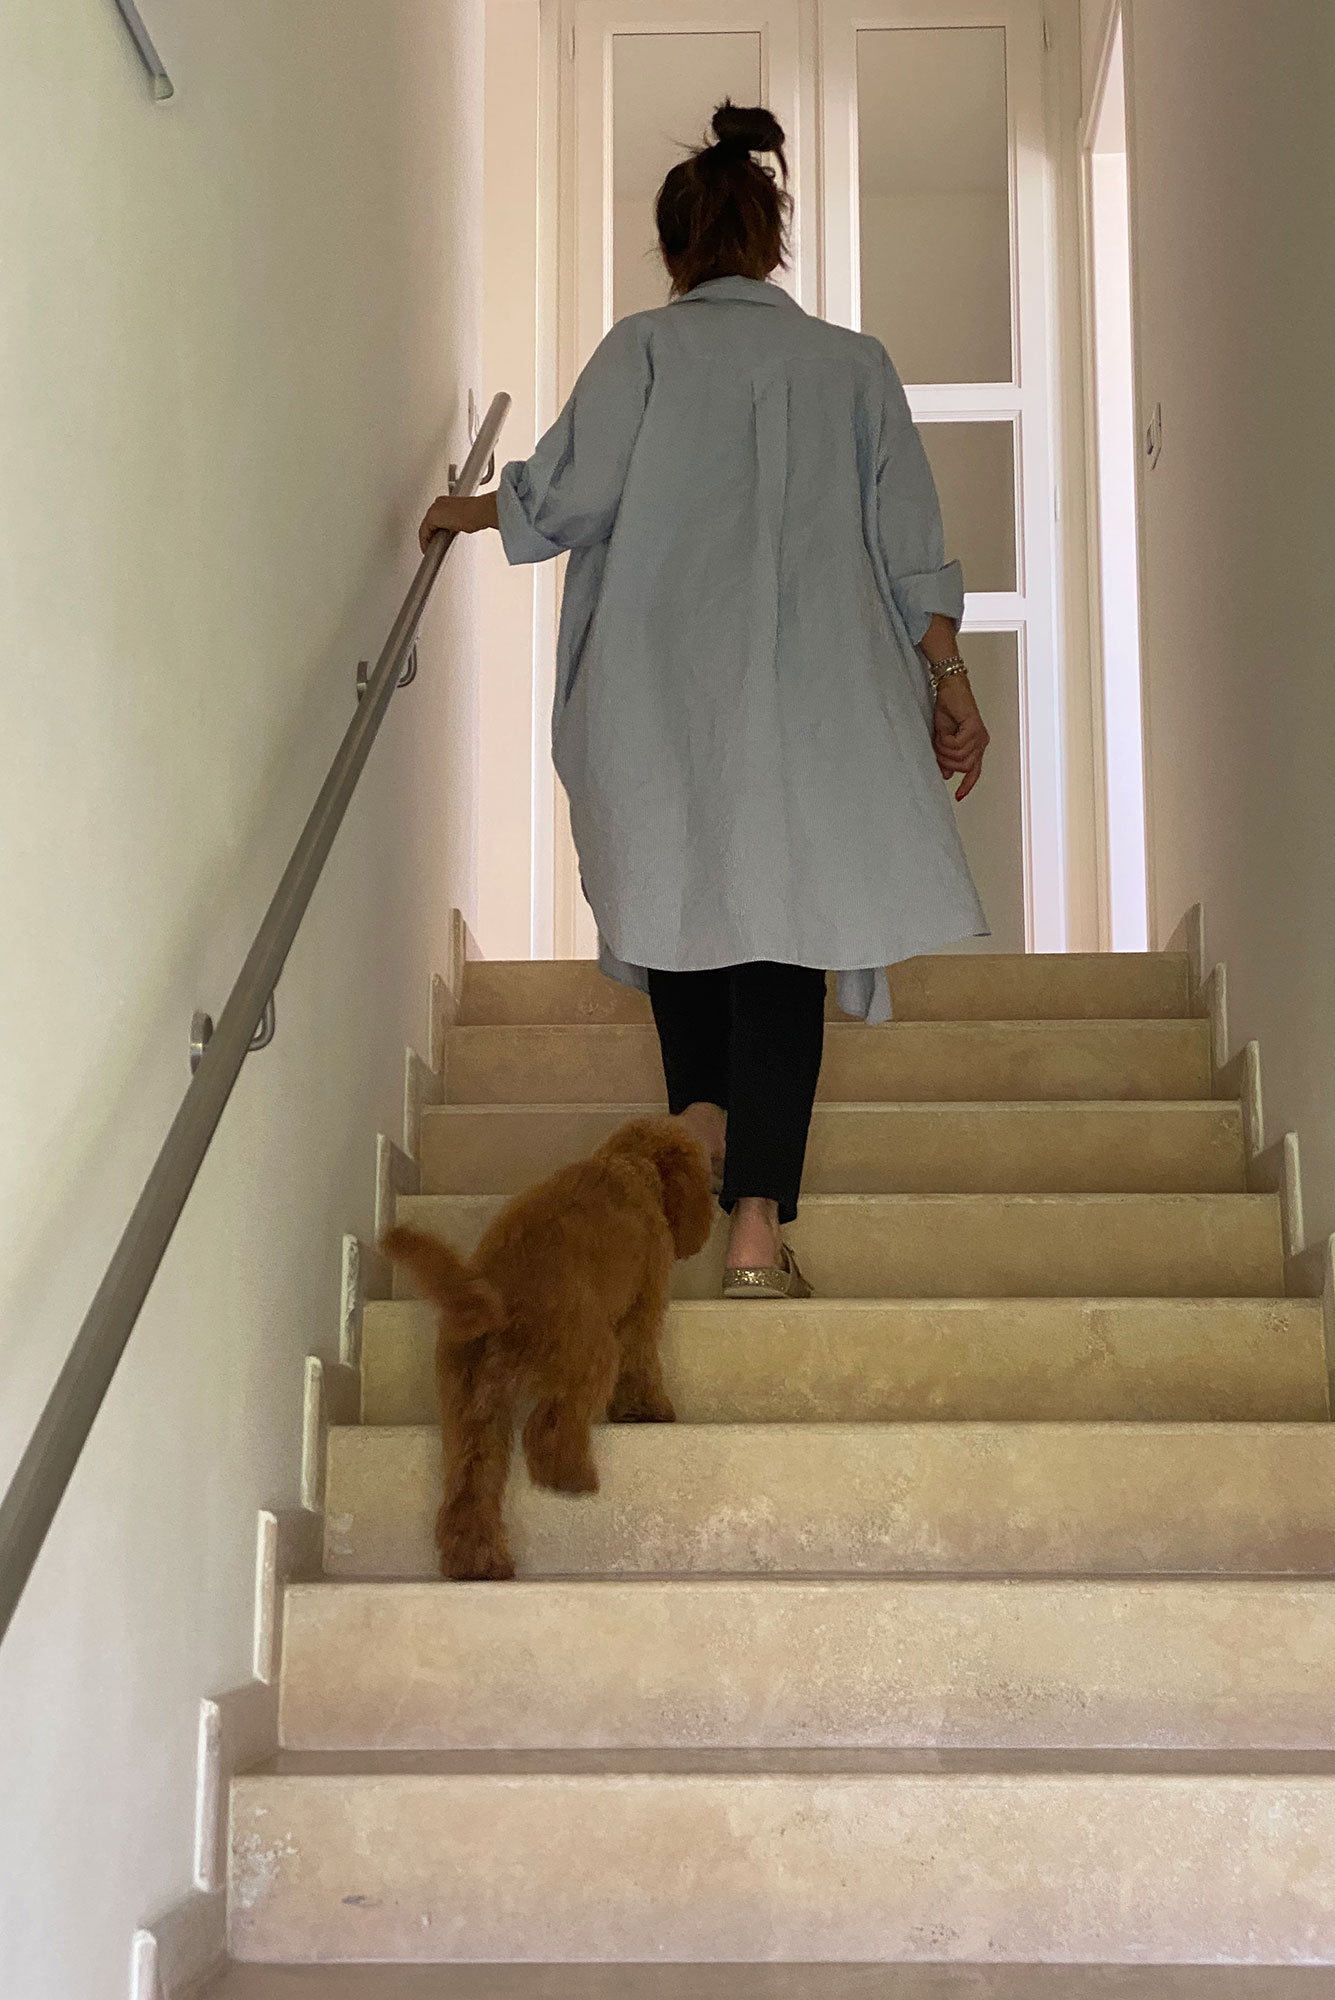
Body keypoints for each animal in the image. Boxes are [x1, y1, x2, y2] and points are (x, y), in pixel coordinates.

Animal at [381, 1114, 715, 1581]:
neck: (629, 1166)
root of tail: (498, 1302)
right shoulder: (644, 1303)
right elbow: (642, 1364)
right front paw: (648, 1410)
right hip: (589, 1354)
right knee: (550, 1427)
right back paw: (572, 1478)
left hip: (471, 1410)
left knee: (470, 1488)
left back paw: (480, 1563)